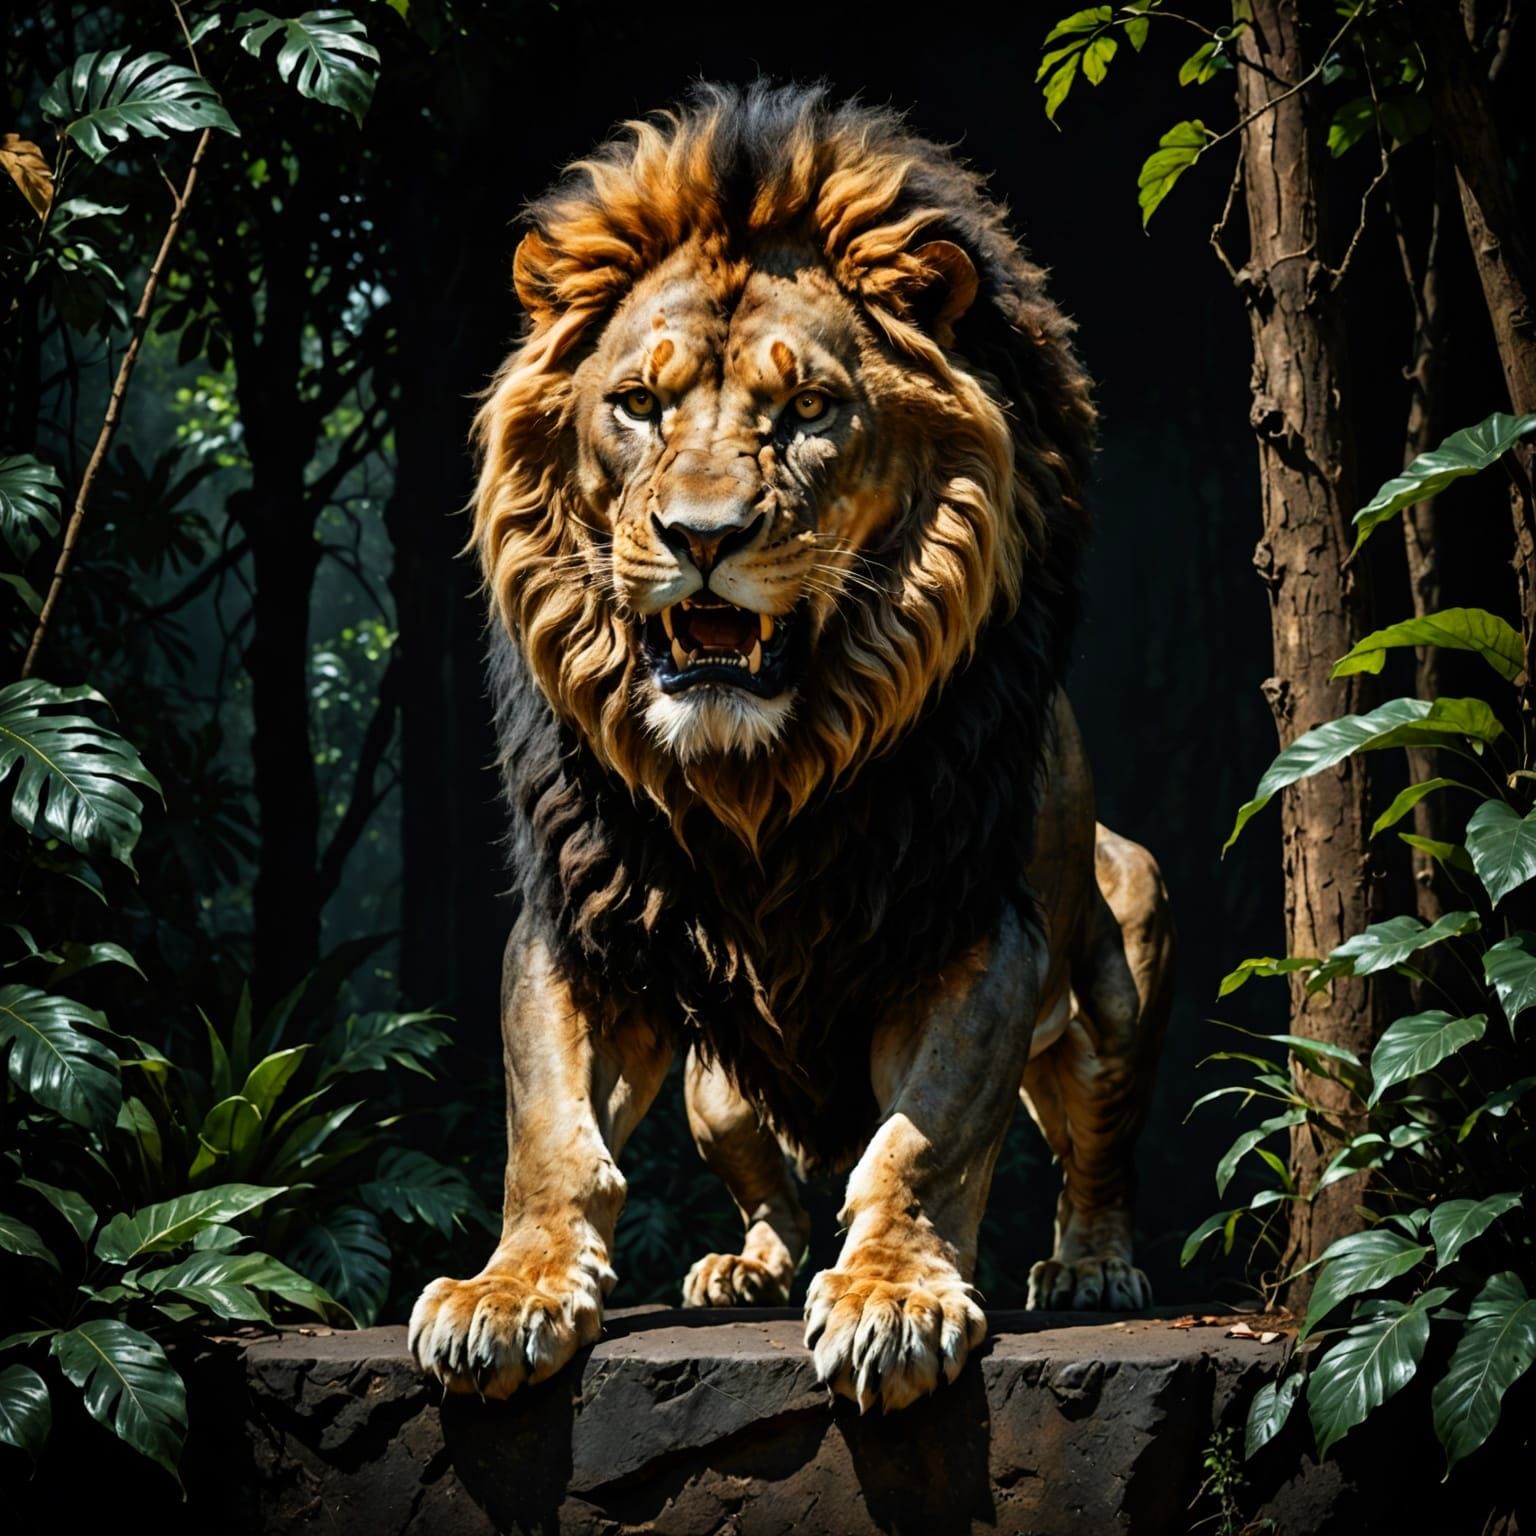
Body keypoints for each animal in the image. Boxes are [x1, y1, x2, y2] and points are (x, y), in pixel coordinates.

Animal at [409, 82, 1173, 1413]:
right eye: (640, 405)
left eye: (810, 411)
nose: (701, 536)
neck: (755, 774)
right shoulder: (580, 922)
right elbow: (548, 1132)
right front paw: (509, 1293)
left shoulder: (977, 930)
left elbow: (921, 1140)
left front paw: (894, 1297)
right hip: (718, 1093)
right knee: (765, 1183)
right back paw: (746, 1270)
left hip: (1127, 950)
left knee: (1096, 1147)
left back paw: (1093, 1265)